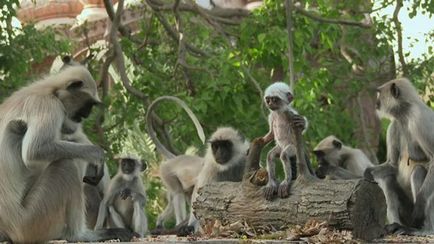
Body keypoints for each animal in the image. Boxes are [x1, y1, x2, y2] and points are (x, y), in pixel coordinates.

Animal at [0, 63, 134, 241]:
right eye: (88, 104)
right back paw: (81, 235)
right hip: (30, 222)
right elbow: (34, 151)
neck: (50, 90)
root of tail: (7, 229)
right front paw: (97, 155)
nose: (86, 115)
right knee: (67, 164)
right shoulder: (48, 105)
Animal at [362, 78, 434, 234]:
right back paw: (396, 225)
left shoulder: (418, 119)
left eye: (379, 93)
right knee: (388, 179)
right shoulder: (394, 124)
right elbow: (392, 165)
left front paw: (420, 207)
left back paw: (422, 229)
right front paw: (367, 173)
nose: (376, 103)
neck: (405, 114)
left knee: (418, 172)